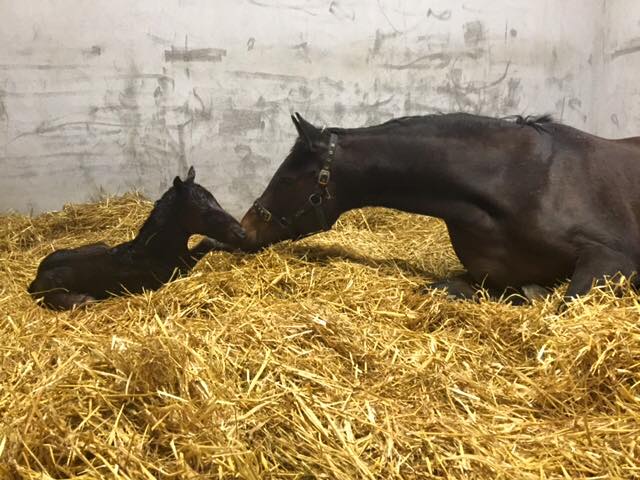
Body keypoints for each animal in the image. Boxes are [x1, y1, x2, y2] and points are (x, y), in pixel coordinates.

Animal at [29, 168, 245, 312]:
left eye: (216, 201)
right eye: (205, 213)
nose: (241, 233)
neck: (155, 251)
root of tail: (34, 281)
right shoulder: (176, 273)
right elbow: (206, 243)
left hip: (99, 245)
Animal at [240, 113, 640, 302]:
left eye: (286, 180)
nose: (246, 227)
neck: (519, 180)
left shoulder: (610, 259)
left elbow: (565, 304)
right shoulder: (491, 277)